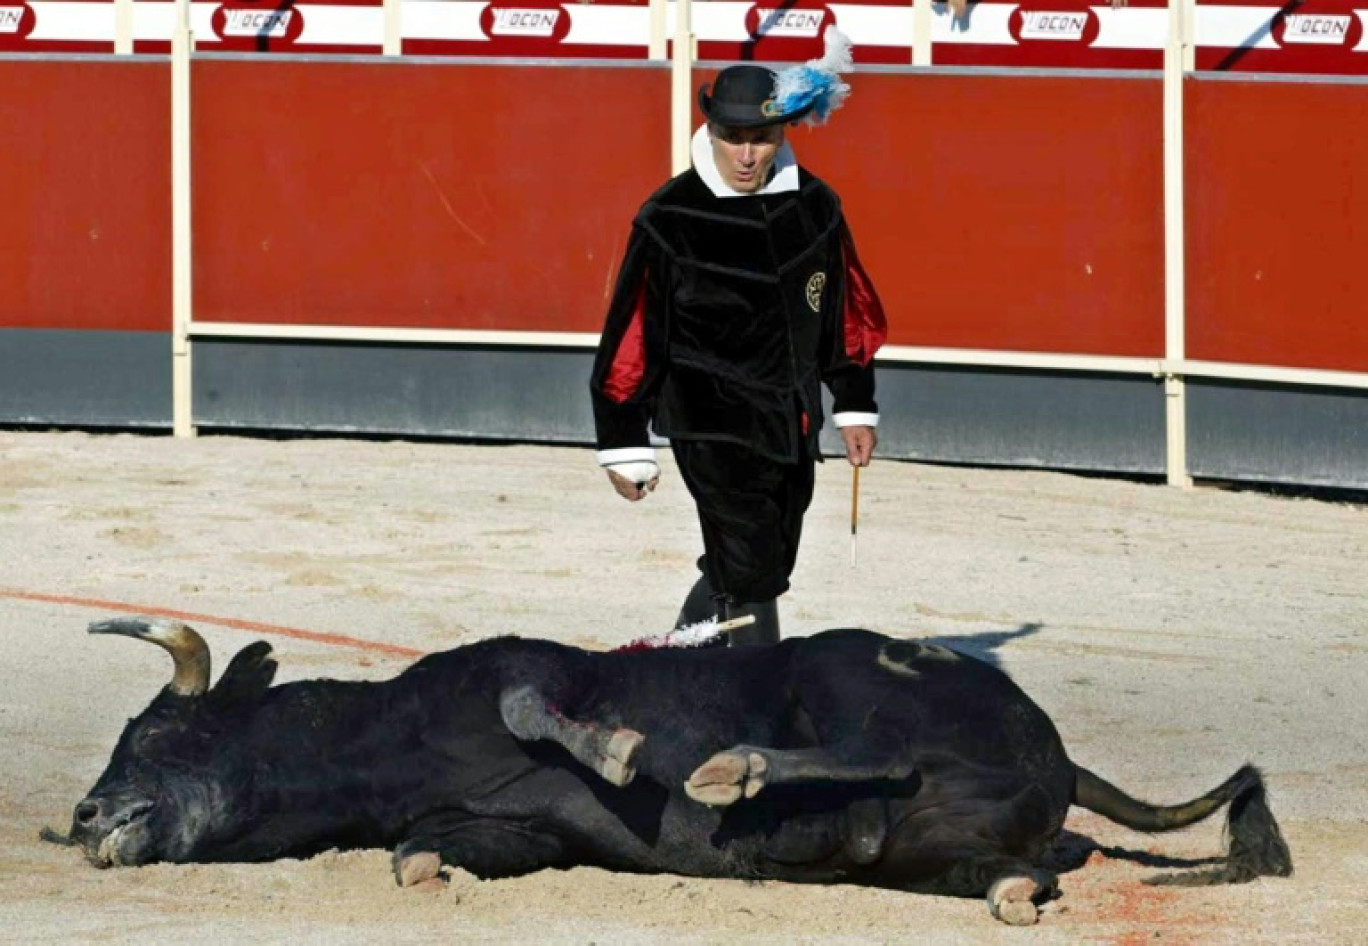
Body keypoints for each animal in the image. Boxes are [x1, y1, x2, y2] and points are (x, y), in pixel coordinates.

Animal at [48, 617, 1285, 929]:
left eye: (153, 736)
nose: (83, 813)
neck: (383, 737)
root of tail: (1063, 749)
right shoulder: (517, 829)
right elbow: (417, 851)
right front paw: (432, 875)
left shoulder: (526, 670)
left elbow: (545, 710)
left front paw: (624, 751)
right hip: (930, 850)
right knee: (989, 859)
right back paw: (1012, 890)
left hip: (851, 675)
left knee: (881, 748)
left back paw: (734, 772)